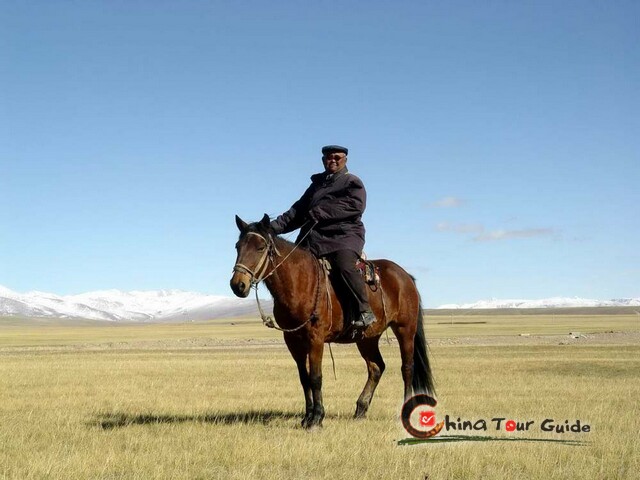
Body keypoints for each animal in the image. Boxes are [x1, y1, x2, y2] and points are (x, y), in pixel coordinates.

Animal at [230, 214, 436, 428]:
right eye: (238, 246)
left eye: (260, 247)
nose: (238, 285)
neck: (300, 281)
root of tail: (406, 277)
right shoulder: (293, 340)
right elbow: (304, 378)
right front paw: (307, 418)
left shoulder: (316, 337)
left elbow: (316, 377)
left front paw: (317, 419)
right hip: (367, 338)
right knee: (376, 367)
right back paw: (360, 409)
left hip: (405, 329)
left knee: (407, 368)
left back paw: (404, 411)